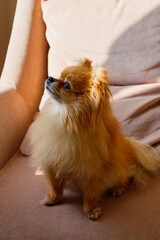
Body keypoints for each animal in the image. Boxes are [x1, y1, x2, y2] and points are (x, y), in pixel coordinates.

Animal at [30, 59, 160, 220]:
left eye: (66, 85)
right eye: (59, 76)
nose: (50, 78)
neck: (64, 116)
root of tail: (128, 147)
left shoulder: (91, 171)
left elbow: (90, 195)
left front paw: (91, 210)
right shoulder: (52, 161)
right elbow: (55, 185)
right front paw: (53, 198)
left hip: (117, 171)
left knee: (127, 176)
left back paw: (118, 188)